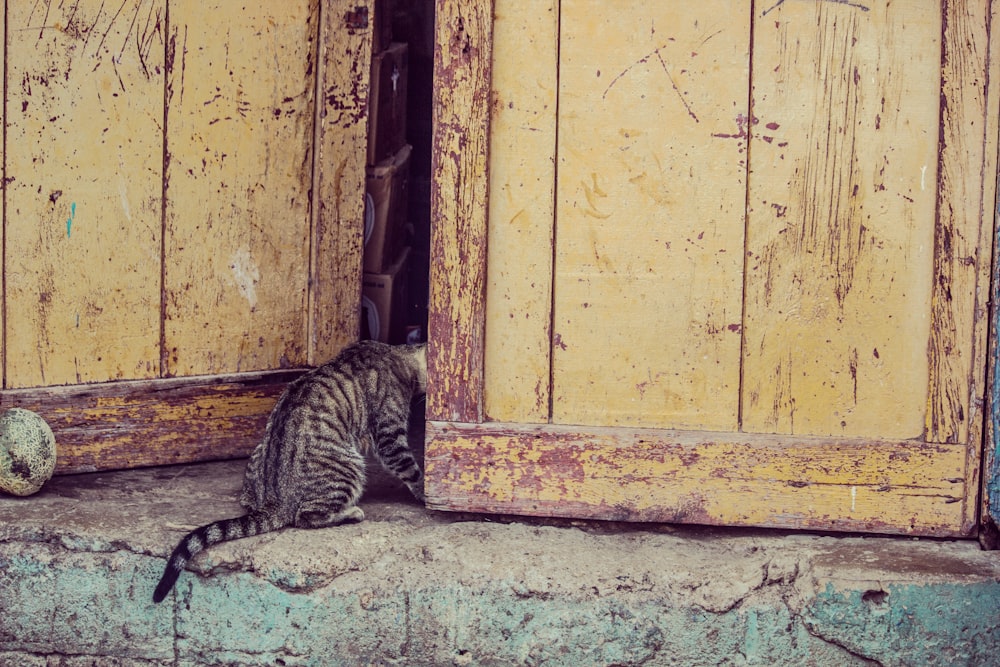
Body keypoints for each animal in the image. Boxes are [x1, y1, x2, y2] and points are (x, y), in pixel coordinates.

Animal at [152, 342, 426, 604]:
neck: (398, 356)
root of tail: (275, 501)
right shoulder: (389, 434)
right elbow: (411, 469)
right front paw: (425, 494)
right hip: (349, 467)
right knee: (306, 517)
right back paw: (350, 514)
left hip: (260, 453)